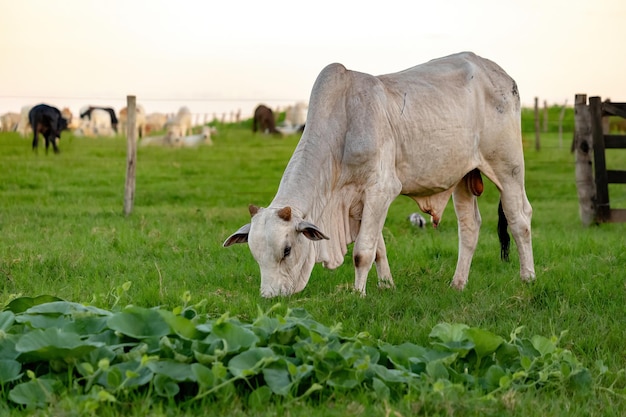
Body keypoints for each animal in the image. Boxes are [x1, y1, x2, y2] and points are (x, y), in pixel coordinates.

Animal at [222, 52, 532, 298]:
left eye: (286, 250)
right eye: (254, 254)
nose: (269, 297)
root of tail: (499, 73)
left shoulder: (381, 189)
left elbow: (362, 252)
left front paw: (358, 294)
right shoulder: (360, 202)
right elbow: (378, 247)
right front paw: (386, 285)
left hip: (508, 167)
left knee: (519, 218)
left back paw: (527, 278)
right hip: (463, 177)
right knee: (469, 227)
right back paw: (458, 284)